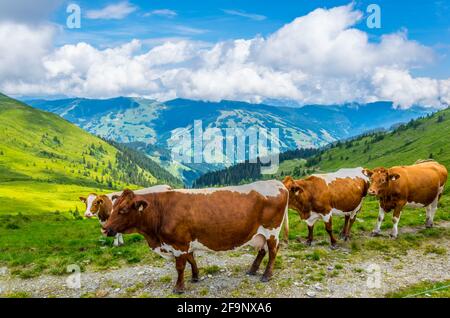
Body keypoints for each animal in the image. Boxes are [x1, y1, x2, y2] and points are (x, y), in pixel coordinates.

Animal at [102, 180, 288, 294]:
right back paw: (252, 269)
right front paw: (195, 277)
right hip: (258, 234)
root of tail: (277, 183)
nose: (104, 228)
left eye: (123, 210)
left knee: (273, 251)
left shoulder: (178, 243)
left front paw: (179, 287)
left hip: (272, 231)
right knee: (262, 250)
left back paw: (266, 275)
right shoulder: (185, 242)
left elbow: (180, 267)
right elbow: (191, 259)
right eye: (113, 207)